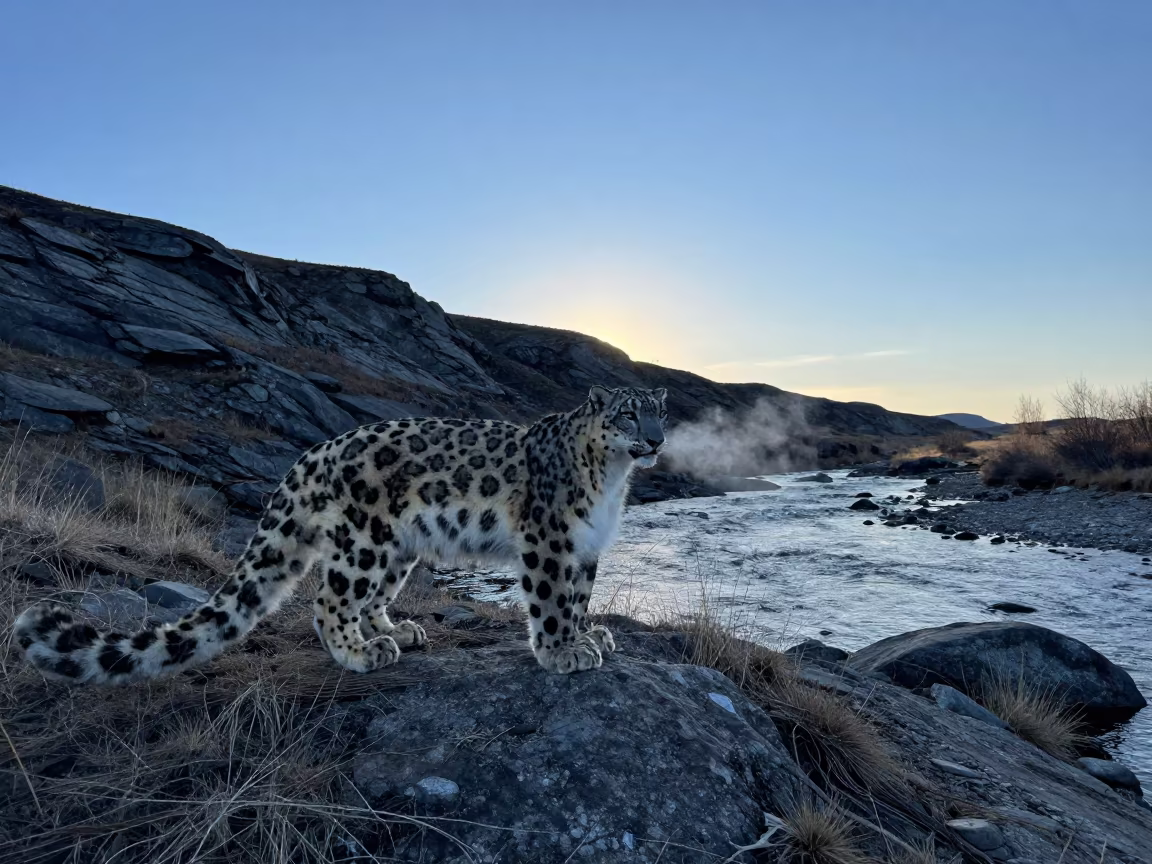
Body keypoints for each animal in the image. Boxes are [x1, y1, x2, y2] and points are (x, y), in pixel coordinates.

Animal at [14, 385, 668, 684]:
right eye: (629, 414)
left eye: (660, 411)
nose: (657, 439)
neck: (613, 478)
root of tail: (315, 451)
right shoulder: (549, 539)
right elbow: (551, 602)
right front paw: (562, 652)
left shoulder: (585, 547)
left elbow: (577, 599)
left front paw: (590, 636)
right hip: (366, 540)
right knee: (329, 599)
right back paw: (361, 651)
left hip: (398, 548)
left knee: (370, 596)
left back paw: (395, 629)